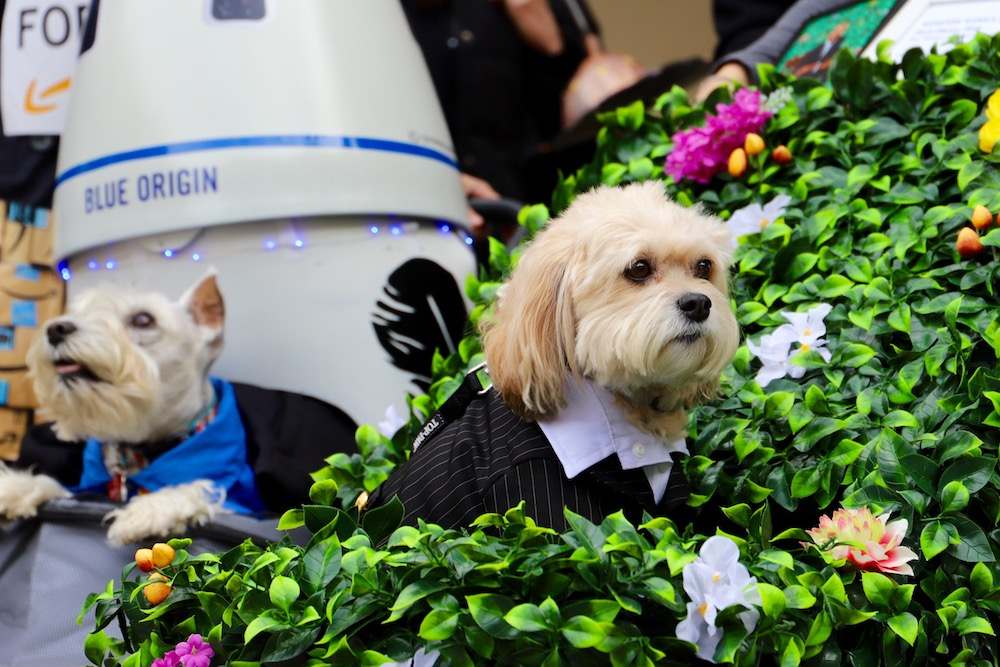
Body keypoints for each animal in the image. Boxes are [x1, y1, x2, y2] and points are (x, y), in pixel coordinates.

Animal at [0, 274, 229, 544]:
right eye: (78, 311)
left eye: (143, 319)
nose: (55, 329)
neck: (142, 446)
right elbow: (58, 488)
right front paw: (15, 487)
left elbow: (195, 488)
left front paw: (152, 509)